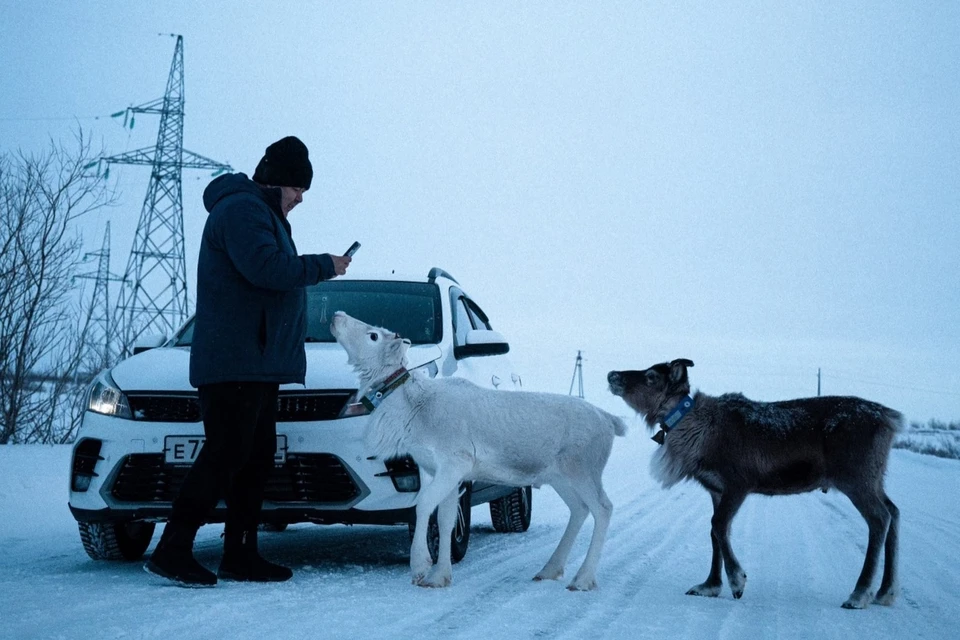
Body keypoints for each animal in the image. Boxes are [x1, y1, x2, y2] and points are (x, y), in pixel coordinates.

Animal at [332, 312, 632, 592]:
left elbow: (423, 505)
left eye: (373, 335)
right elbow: (445, 519)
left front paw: (420, 568)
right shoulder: (437, 471)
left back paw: (582, 579)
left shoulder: (455, 464)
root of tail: (610, 421)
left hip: (583, 472)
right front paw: (440, 577)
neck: (413, 409)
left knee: (603, 509)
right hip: (560, 479)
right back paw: (549, 570)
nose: (337, 316)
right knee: (579, 510)